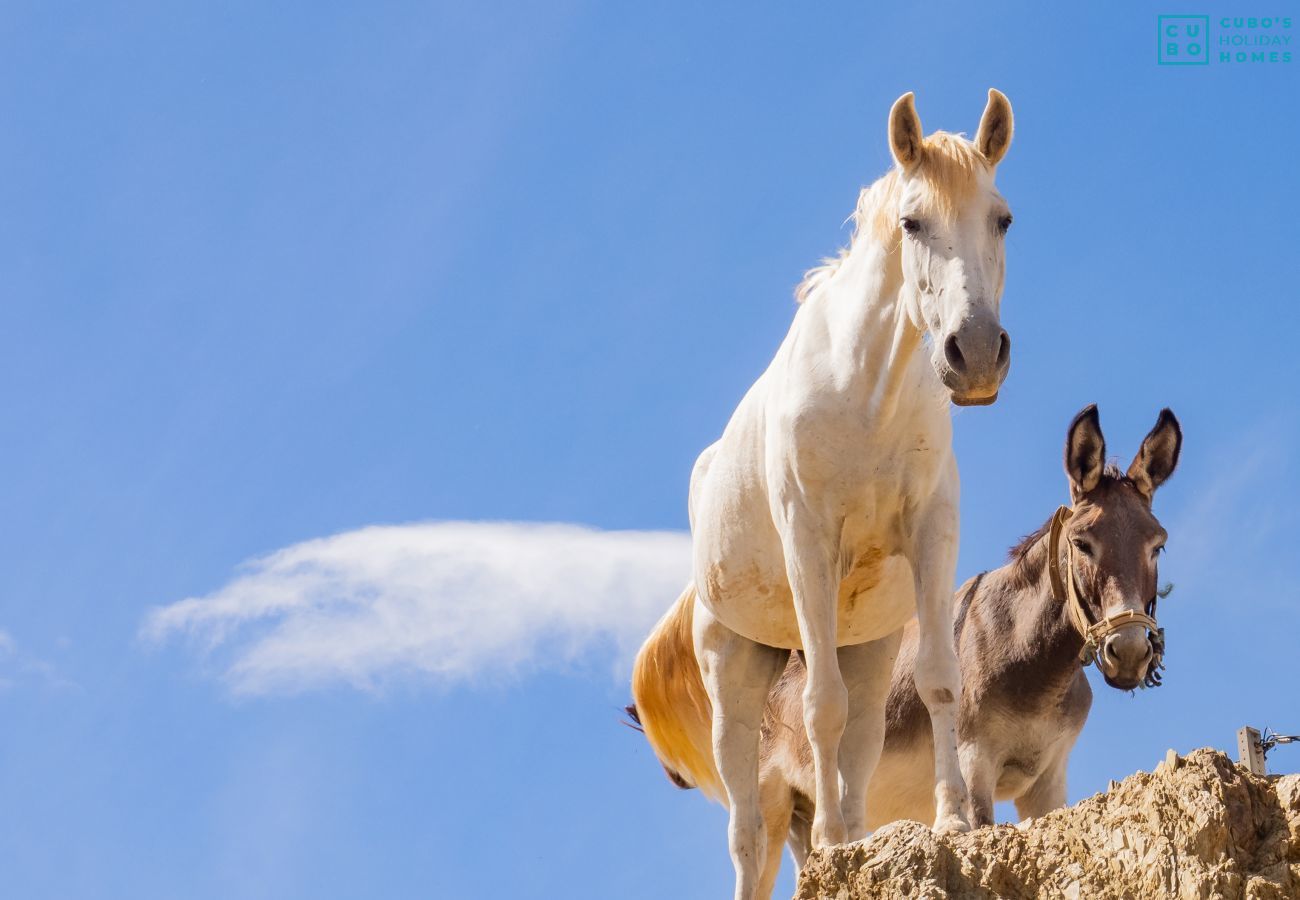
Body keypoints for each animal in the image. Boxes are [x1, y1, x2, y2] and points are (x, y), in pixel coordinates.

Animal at [629, 89, 1013, 894]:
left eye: (1002, 217)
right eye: (912, 222)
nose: (976, 354)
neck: (865, 393)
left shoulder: (932, 535)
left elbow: (939, 680)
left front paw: (952, 822)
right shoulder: (811, 546)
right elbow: (819, 711)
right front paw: (837, 846)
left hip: (864, 647)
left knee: (858, 749)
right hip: (733, 673)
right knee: (750, 831)